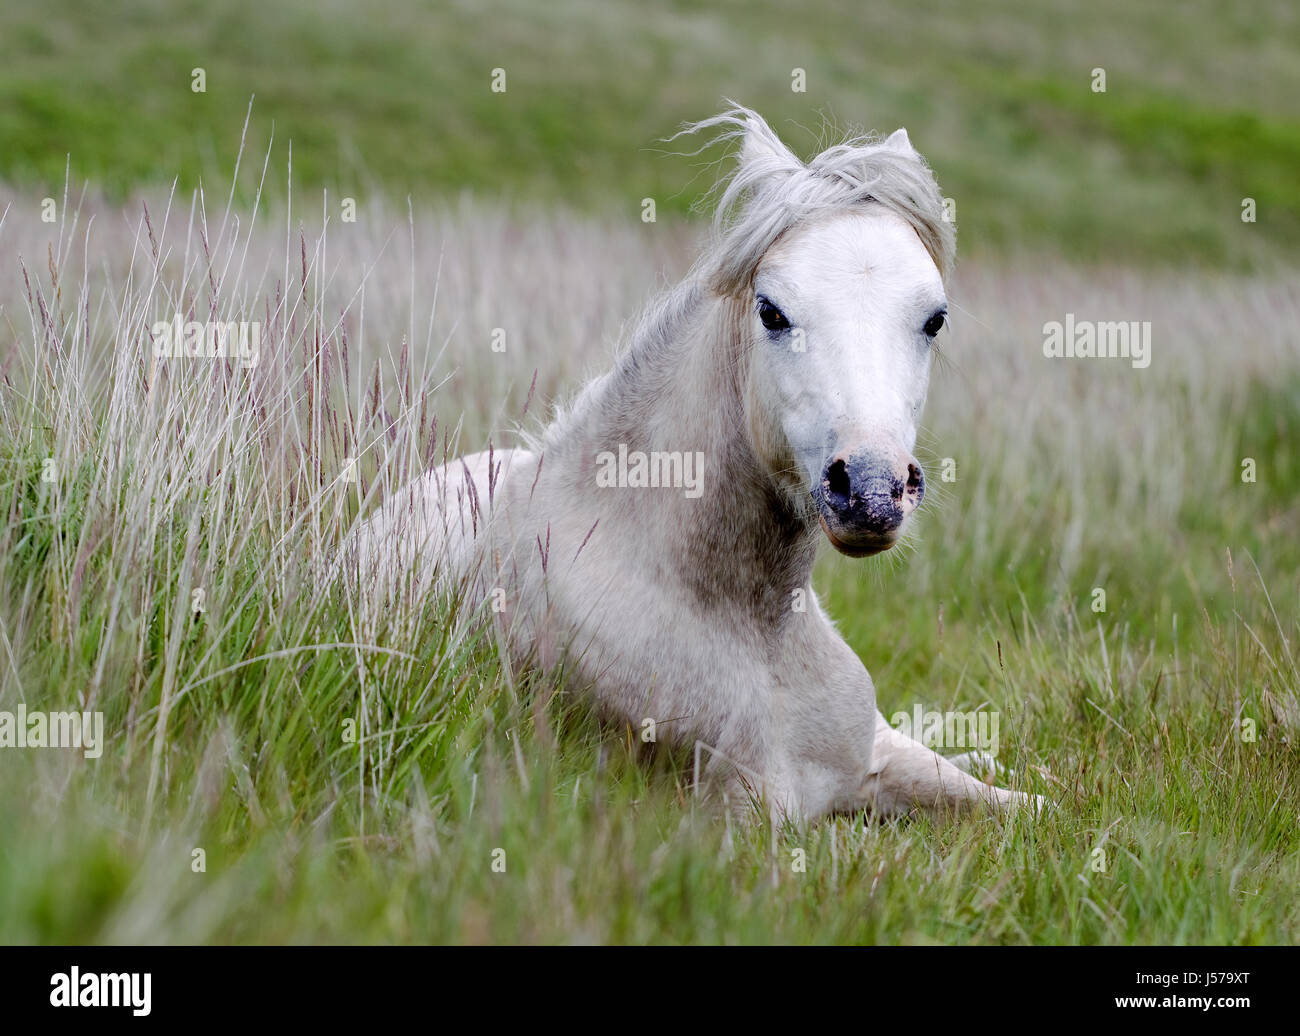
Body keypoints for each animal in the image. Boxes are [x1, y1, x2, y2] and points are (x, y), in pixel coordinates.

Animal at [351, 107, 1040, 826]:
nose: (872, 493)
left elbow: (1030, 806)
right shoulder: (743, 811)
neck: (753, 632)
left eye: (935, 320)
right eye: (771, 311)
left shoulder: (874, 761)